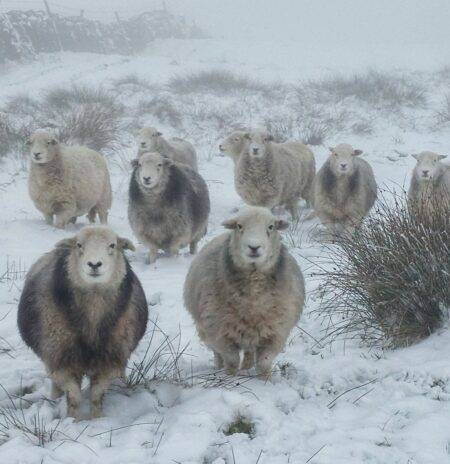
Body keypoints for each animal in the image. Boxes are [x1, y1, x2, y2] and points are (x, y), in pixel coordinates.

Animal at [17, 226, 148, 420]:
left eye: (112, 245)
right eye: (79, 245)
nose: (94, 264)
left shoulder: (109, 361)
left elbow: (96, 396)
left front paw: (97, 418)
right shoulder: (62, 361)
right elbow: (74, 397)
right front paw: (73, 420)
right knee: (54, 381)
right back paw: (54, 397)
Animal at [184, 208, 306, 378]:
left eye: (271, 226)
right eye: (239, 226)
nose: (254, 247)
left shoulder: (275, 333)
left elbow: (263, 363)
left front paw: (265, 380)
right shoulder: (220, 332)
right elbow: (232, 360)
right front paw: (229, 377)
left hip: (252, 333)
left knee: (249, 352)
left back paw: (247, 368)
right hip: (206, 327)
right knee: (217, 353)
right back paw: (219, 368)